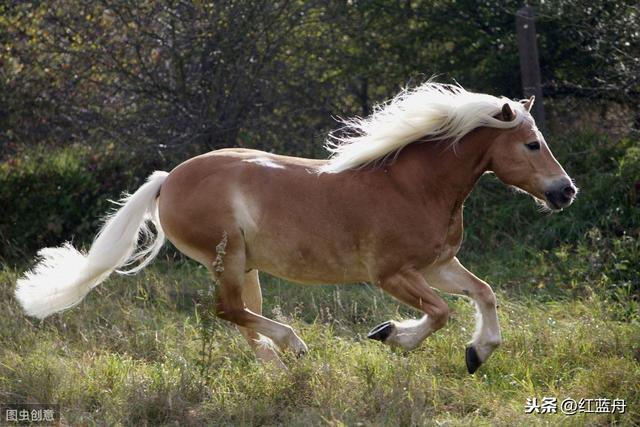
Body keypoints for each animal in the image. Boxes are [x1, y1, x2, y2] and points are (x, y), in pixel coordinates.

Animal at [15, 82, 577, 374]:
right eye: (531, 144)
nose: (565, 192)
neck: (414, 186)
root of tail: (167, 180)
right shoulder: (392, 274)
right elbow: (439, 314)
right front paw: (391, 336)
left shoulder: (437, 265)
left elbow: (484, 294)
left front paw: (477, 353)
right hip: (229, 257)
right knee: (227, 311)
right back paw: (296, 347)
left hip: (246, 267)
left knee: (240, 316)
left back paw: (279, 365)